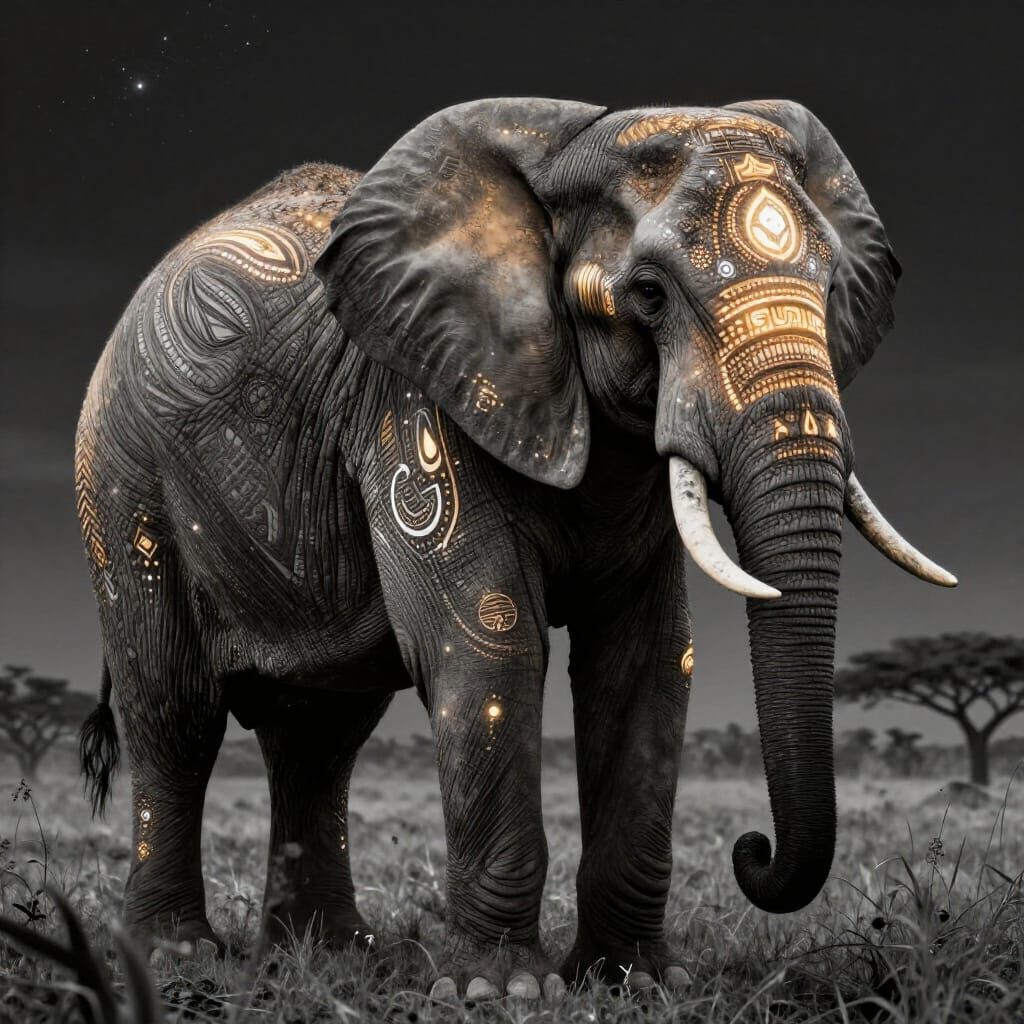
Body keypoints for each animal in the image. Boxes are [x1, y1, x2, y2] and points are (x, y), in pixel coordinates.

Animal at [75, 97, 956, 997]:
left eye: (830, 287)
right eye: (649, 295)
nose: (753, 848)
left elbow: (648, 661)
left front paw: (635, 980)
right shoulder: (420, 404)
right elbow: (487, 644)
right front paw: (502, 992)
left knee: (320, 735)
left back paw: (325, 954)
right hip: (123, 478)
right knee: (175, 710)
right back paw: (179, 956)